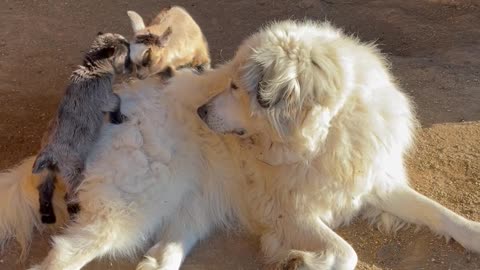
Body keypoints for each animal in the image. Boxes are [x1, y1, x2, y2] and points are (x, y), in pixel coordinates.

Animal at [32, 32, 131, 223]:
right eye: (126, 51)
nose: (132, 67)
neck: (92, 69)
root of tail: (49, 153)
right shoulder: (107, 99)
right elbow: (118, 100)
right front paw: (118, 119)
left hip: (49, 172)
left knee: (44, 190)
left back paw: (47, 215)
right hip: (74, 173)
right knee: (68, 197)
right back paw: (74, 213)